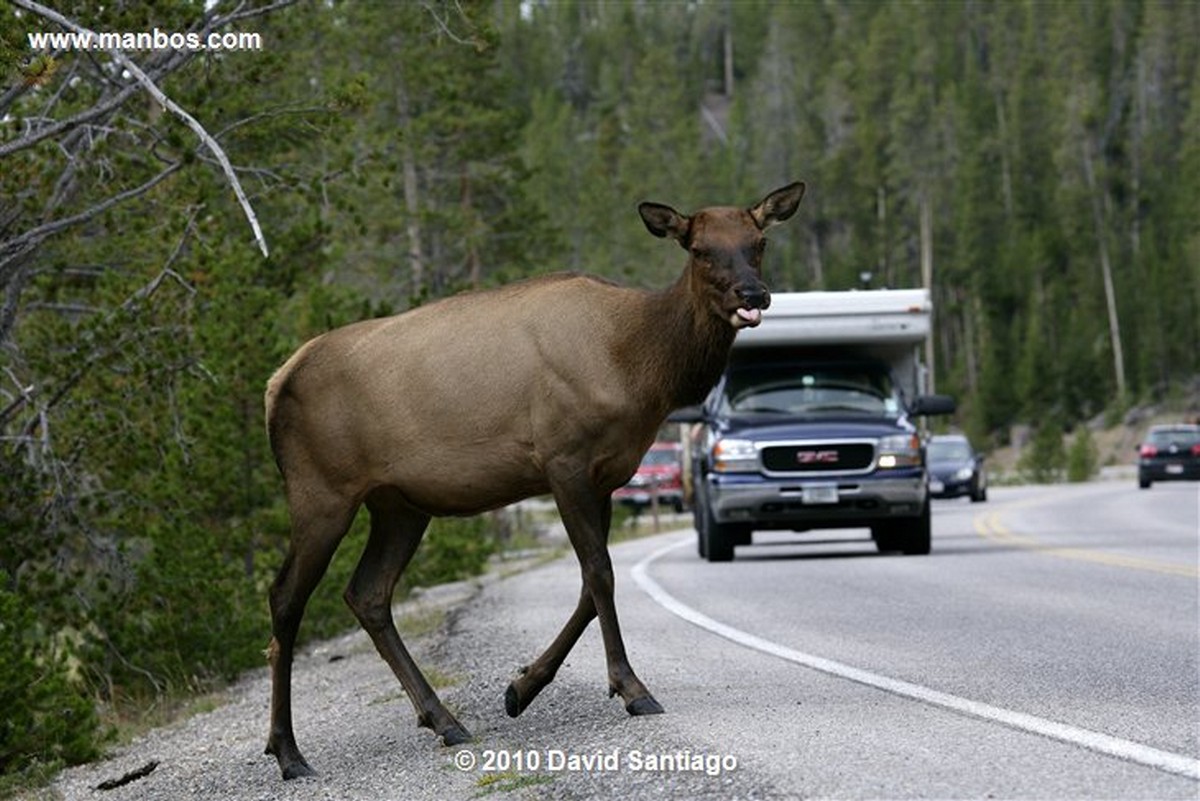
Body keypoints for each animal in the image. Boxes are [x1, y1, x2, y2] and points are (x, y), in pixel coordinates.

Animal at [264, 181, 806, 777]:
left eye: (758, 242)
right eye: (700, 249)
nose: (752, 294)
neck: (643, 369)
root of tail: (276, 382)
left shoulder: (606, 476)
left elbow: (591, 584)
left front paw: (520, 688)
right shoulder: (563, 460)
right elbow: (600, 573)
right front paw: (631, 688)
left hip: (399, 504)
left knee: (367, 593)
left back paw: (444, 720)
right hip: (321, 492)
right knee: (285, 597)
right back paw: (288, 751)